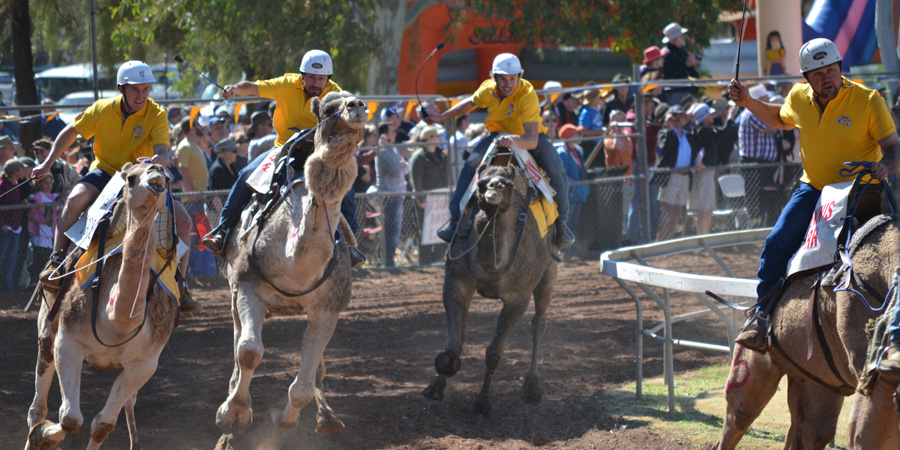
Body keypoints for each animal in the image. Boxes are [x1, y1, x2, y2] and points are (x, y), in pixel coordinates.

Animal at [25, 163, 178, 450]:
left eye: (167, 176)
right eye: (131, 179)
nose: (156, 168)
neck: (117, 321)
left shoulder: (144, 364)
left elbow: (103, 424)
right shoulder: (69, 342)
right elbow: (70, 418)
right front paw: (42, 437)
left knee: (129, 402)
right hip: (48, 329)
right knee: (37, 406)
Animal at [214, 91, 365, 449]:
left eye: (357, 100)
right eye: (328, 108)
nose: (356, 107)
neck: (294, 260)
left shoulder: (328, 308)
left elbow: (303, 387)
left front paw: (285, 420)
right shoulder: (248, 286)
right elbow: (249, 352)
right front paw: (233, 417)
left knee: (316, 369)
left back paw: (327, 418)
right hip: (234, 291)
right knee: (238, 342)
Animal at [422, 163, 559, 415]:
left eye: (507, 184)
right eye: (481, 183)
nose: (494, 189)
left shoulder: (517, 298)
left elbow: (494, 352)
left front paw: (483, 402)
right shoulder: (456, 283)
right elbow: (455, 342)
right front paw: (436, 385)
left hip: (549, 274)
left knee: (539, 323)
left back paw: (532, 387)